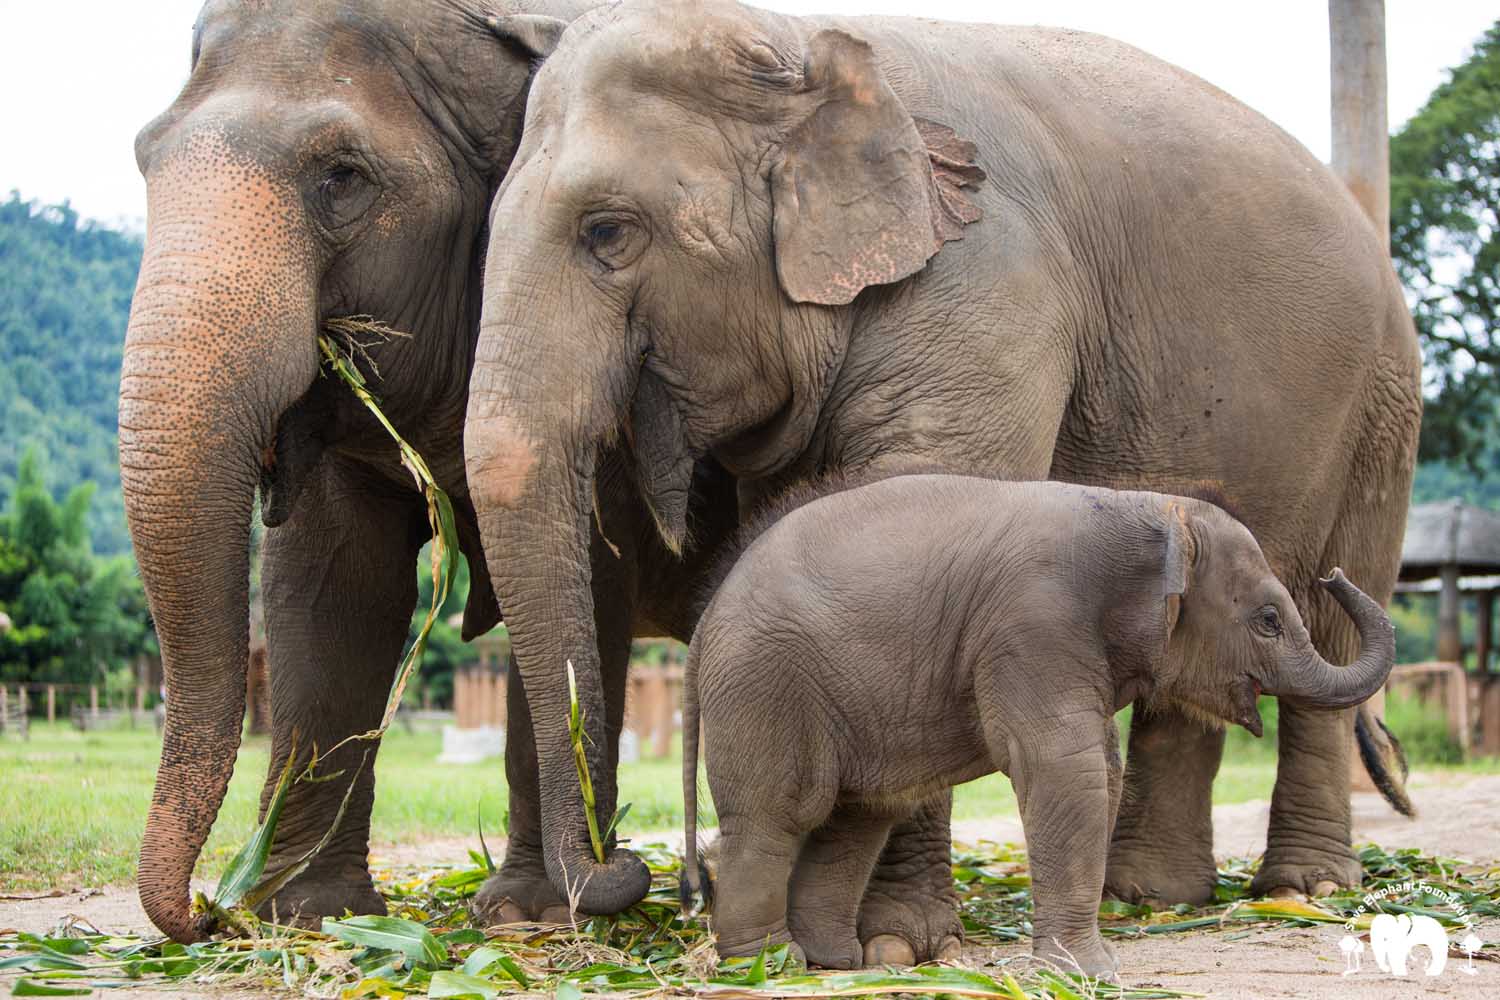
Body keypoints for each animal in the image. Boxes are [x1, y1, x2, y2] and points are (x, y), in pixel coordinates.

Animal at [119, 0, 605, 942]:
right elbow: (334, 590)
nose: (203, 912)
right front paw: (306, 914)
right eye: (144, 156)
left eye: (342, 177)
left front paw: (528, 916)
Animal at [678, 476, 1396, 975]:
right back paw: (767, 967)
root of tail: (703, 623)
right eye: (1269, 620)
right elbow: (1064, 769)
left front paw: (1082, 966)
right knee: (779, 816)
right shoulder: (1034, 622)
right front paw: (1088, 974)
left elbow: (1099, 770)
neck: (1143, 507)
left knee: (856, 817)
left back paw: (834, 965)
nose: (1333, 574)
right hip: (766, 688)